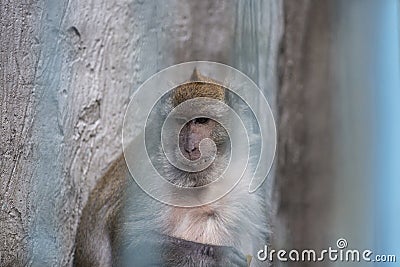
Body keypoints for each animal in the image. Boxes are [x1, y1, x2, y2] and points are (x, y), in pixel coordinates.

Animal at [73, 69, 270, 267]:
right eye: (179, 120)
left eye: (201, 121)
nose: (189, 147)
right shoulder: (150, 175)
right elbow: (131, 245)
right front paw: (218, 256)